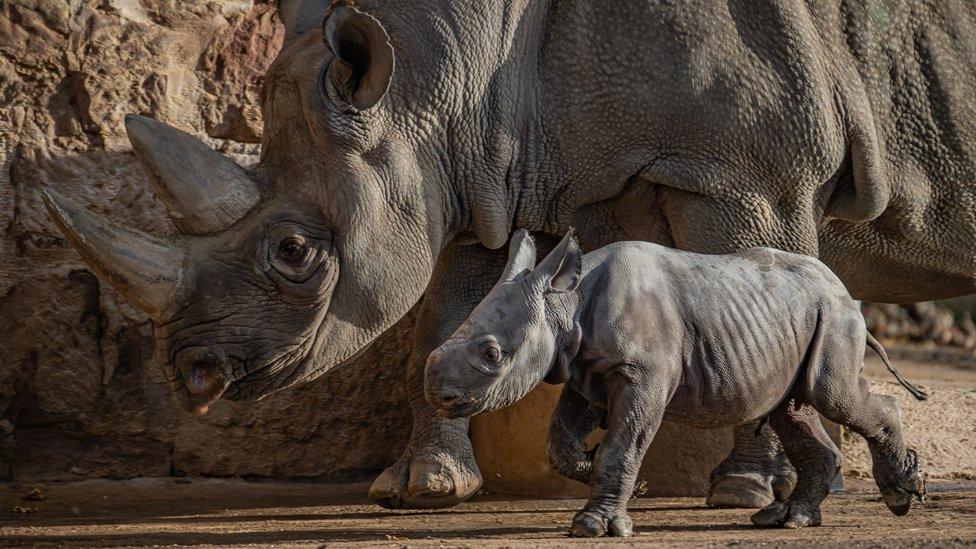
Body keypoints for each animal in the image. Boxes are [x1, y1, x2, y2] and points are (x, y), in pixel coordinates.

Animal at [424, 229, 928, 536]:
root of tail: (843, 289)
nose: (438, 396)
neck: (566, 301)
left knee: (830, 395)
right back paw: (787, 519)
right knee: (791, 408)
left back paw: (901, 496)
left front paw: (593, 526)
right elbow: (561, 442)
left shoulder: (640, 373)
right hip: (796, 316)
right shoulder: (586, 370)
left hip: (834, 313)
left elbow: (623, 443)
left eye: (492, 355)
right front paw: (613, 478)